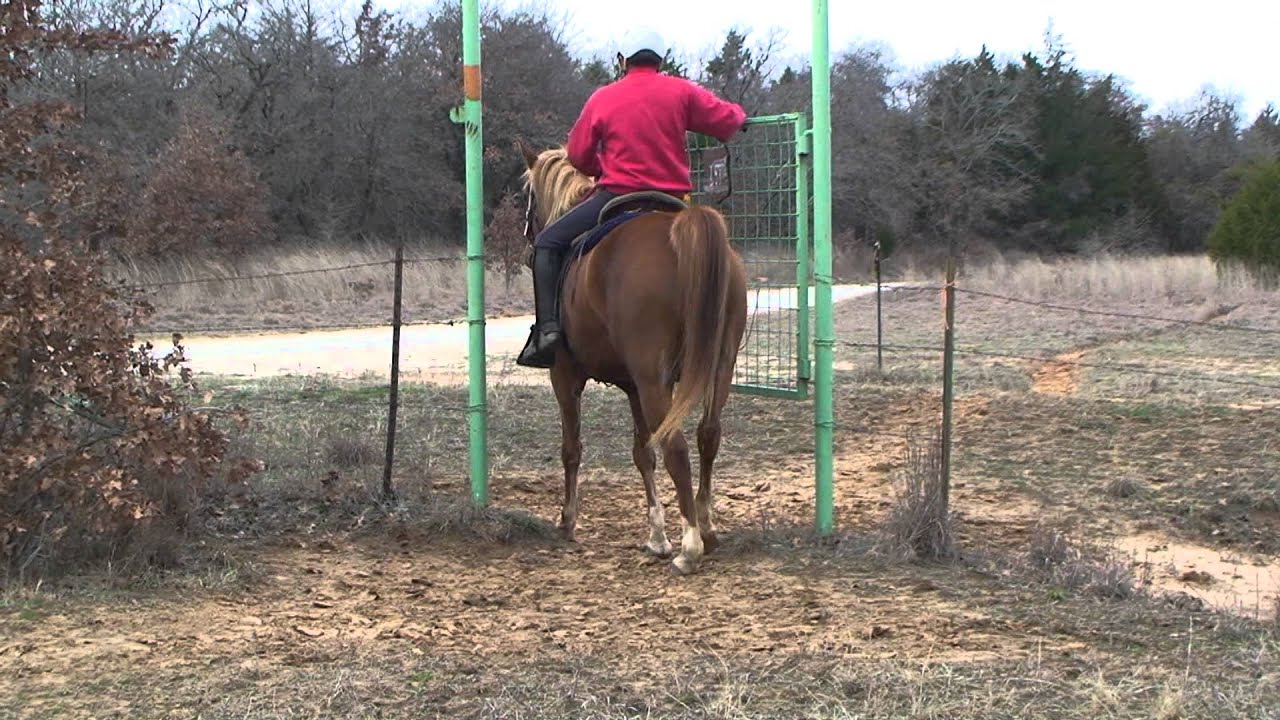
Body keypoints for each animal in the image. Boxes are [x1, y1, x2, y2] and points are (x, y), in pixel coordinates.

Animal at [515, 138, 748, 575]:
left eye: (527, 196)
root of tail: (682, 229)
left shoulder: (565, 377)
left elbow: (572, 448)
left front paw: (567, 520)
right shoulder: (632, 387)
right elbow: (643, 453)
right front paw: (656, 535)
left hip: (655, 378)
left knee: (676, 445)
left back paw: (690, 545)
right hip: (717, 368)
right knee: (707, 435)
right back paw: (706, 527)